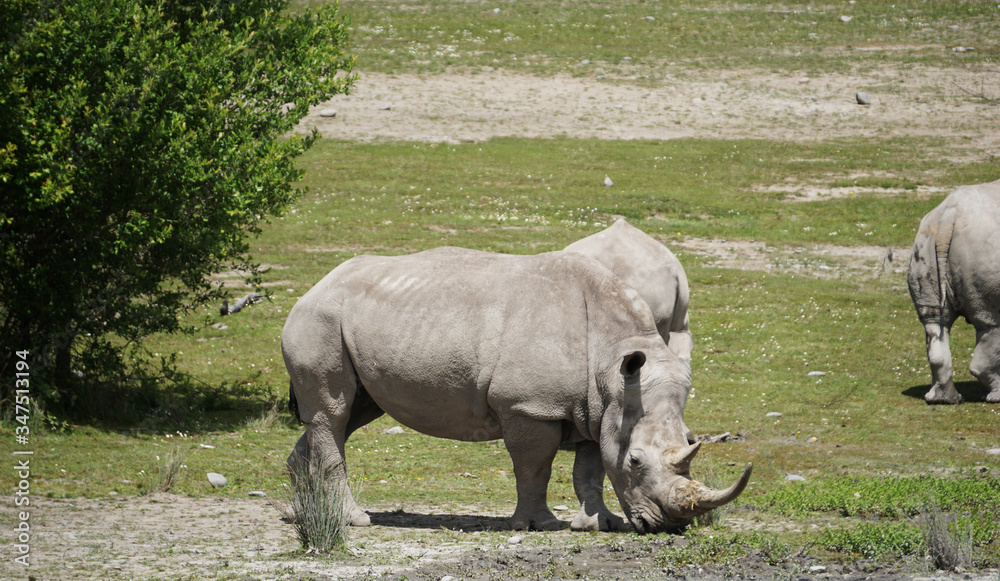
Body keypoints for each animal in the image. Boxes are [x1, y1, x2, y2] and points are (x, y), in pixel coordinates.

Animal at [282, 247, 752, 533]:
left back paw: (305, 513)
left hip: (352, 323)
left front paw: (599, 524)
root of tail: (314, 287)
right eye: (636, 461)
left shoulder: (596, 408)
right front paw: (538, 525)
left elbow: (591, 469)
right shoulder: (530, 406)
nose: (667, 526)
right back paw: (353, 521)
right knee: (333, 412)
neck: (612, 364)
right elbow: (535, 466)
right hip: (319, 319)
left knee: (347, 414)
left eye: (690, 443)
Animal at [907, 178, 1000, 404]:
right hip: (982, 249)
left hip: (924, 240)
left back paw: (945, 400)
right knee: (992, 323)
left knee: (935, 323)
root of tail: (948, 218)